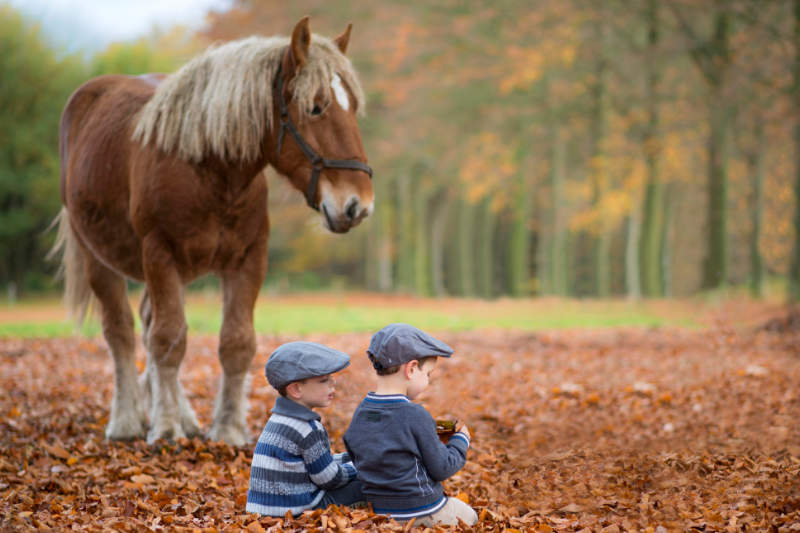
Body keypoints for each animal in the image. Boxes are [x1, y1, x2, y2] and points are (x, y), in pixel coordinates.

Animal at [50, 17, 376, 444]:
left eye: (352, 106)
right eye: (316, 107)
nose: (358, 205)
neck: (209, 171)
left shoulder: (249, 259)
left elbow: (235, 343)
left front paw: (227, 428)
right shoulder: (159, 254)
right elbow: (168, 340)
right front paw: (166, 427)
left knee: (150, 323)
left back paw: (181, 416)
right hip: (98, 258)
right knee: (121, 330)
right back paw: (127, 420)